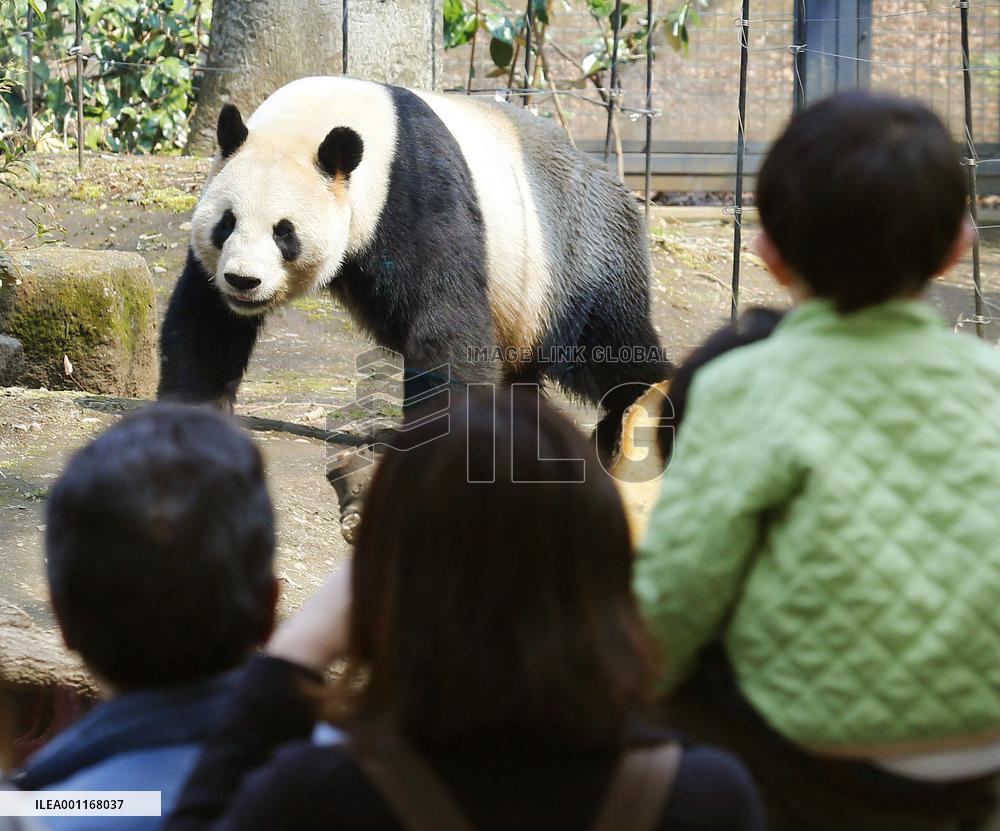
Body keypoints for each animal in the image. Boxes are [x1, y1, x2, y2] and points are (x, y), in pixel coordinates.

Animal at [159, 75, 671, 459]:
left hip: (573, 256)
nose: (244, 281)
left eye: (284, 232)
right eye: (227, 222)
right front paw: (193, 412)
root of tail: (620, 188)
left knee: (610, 345)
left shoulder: (413, 186)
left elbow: (445, 317)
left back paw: (637, 416)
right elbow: (207, 319)